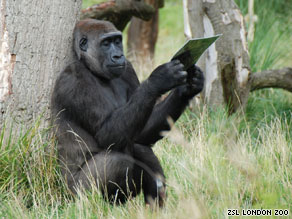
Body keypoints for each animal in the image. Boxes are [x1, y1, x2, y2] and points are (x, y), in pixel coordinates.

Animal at [50, 18, 204, 207]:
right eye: (106, 43)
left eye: (117, 41)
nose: (118, 56)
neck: (91, 68)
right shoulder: (74, 81)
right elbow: (107, 134)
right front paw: (159, 80)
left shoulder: (128, 69)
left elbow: (142, 131)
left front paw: (188, 89)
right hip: (74, 193)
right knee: (117, 163)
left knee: (141, 148)